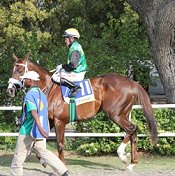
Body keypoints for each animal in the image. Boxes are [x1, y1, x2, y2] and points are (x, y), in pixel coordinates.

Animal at [6, 53, 158, 170]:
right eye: (12, 69)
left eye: (20, 70)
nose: (10, 90)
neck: (50, 88)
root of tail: (132, 82)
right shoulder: (49, 120)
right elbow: (38, 141)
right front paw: (43, 160)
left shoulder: (60, 122)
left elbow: (60, 145)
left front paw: (61, 165)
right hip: (123, 114)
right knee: (132, 131)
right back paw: (130, 162)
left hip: (116, 114)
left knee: (131, 129)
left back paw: (123, 156)